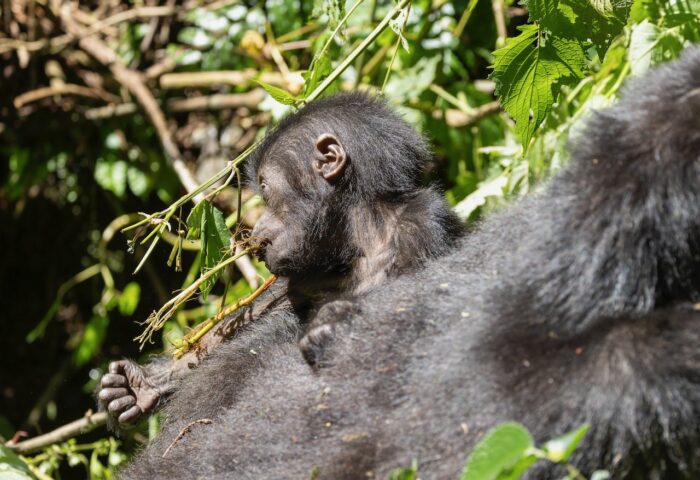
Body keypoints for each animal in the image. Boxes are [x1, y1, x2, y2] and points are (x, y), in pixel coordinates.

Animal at [97, 92, 465, 428]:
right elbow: (255, 314)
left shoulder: (422, 224)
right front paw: (144, 383)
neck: (361, 233)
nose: (259, 227)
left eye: (265, 188)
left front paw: (336, 324)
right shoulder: (305, 268)